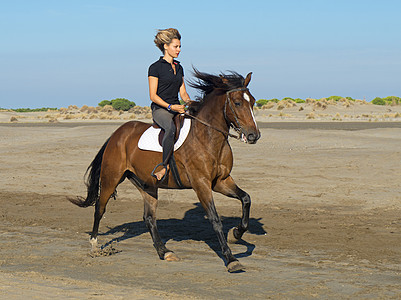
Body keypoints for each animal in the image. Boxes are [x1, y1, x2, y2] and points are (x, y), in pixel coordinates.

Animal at [70, 68, 260, 272]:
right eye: (238, 102)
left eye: (253, 101)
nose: (253, 135)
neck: (207, 137)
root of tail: (117, 134)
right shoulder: (201, 183)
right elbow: (215, 219)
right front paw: (231, 259)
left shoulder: (221, 181)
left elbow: (246, 198)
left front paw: (237, 233)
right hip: (111, 178)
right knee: (100, 208)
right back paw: (94, 246)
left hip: (148, 185)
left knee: (149, 218)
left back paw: (164, 251)